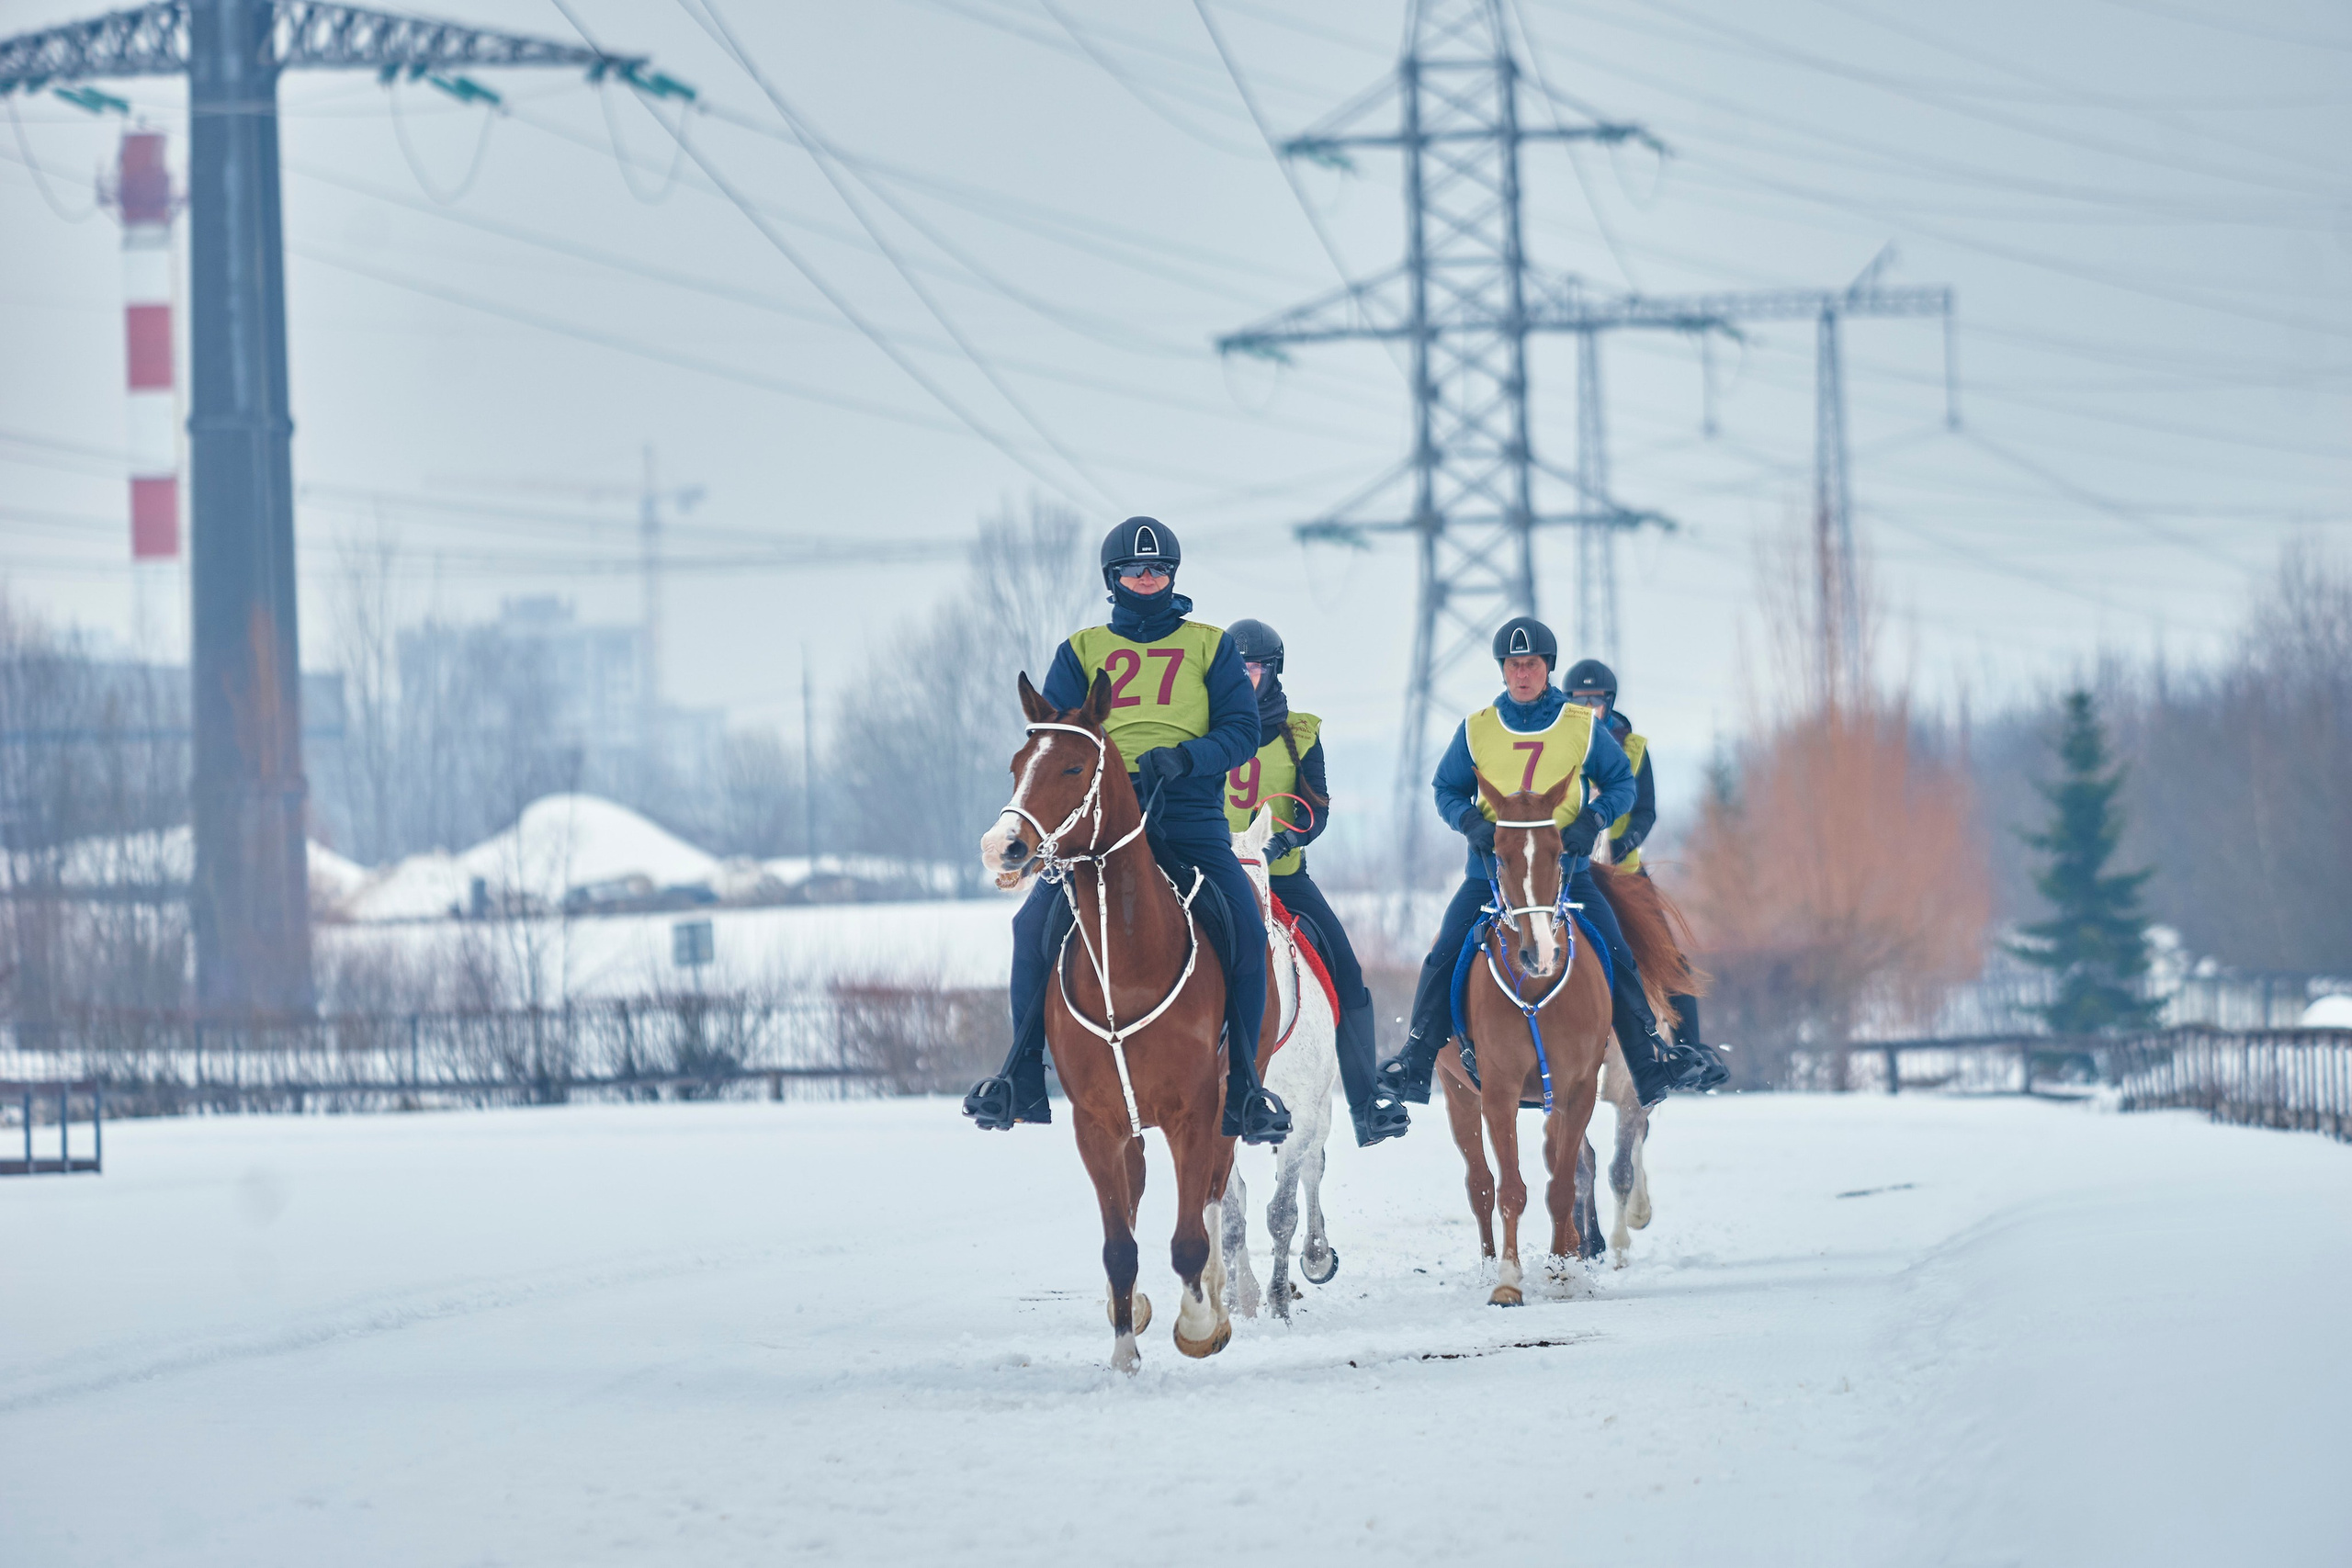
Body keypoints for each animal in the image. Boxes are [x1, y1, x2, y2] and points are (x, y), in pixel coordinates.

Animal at [979, 669, 1256, 1374]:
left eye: (1074, 766)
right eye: (1017, 764)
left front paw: (1198, 1325)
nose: (1002, 847)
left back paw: (1213, 1301)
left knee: (1212, 1199)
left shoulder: (1195, 1112)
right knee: (1136, 1201)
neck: (1125, 965)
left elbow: (1189, 1236)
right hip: (1132, 1125)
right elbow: (1119, 1244)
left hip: (1230, 1103)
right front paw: (1125, 1353)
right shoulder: (1097, 1123)